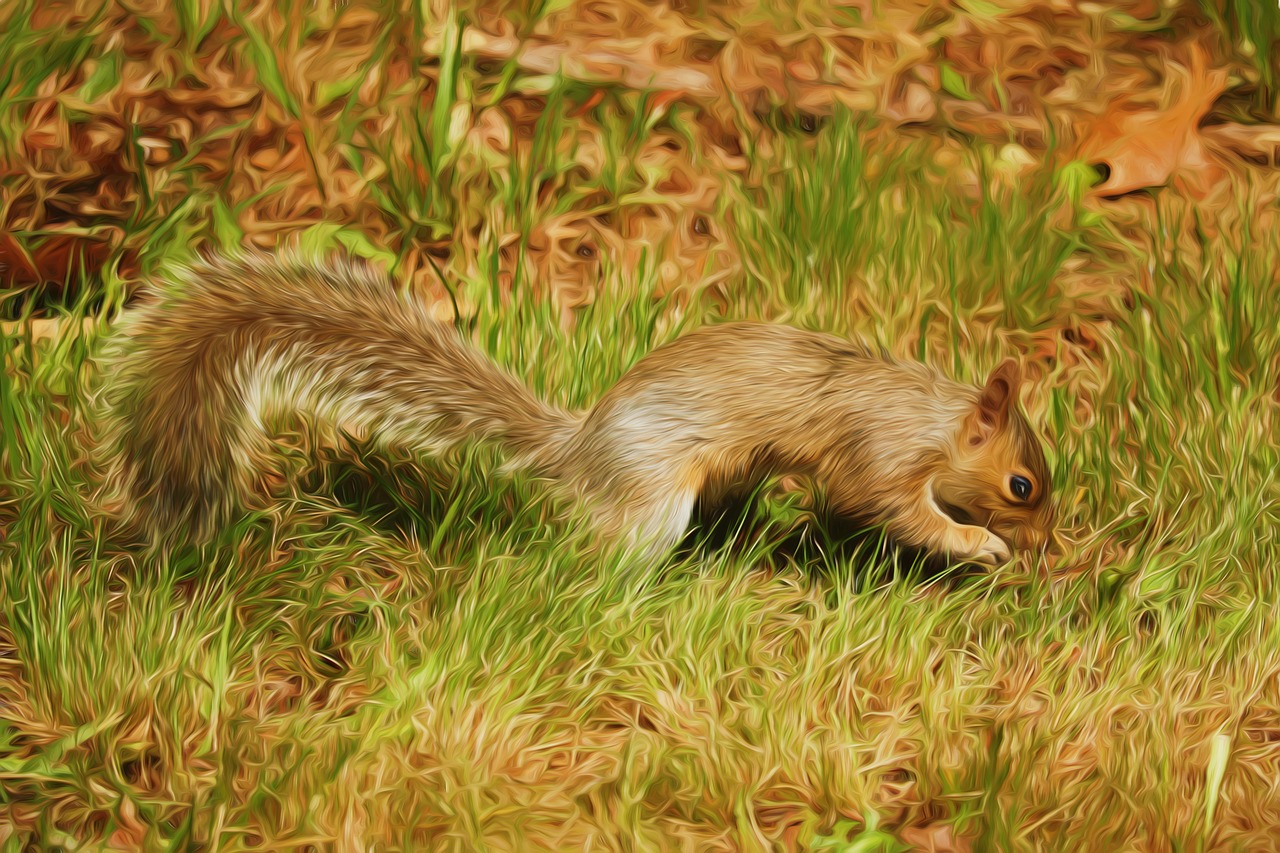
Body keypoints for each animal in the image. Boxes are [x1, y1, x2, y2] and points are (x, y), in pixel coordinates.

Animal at [99, 249, 1054, 560]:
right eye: (1022, 485)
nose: (1050, 545)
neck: (931, 414)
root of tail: (581, 445)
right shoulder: (879, 452)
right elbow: (888, 506)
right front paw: (980, 546)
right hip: (651, 500)